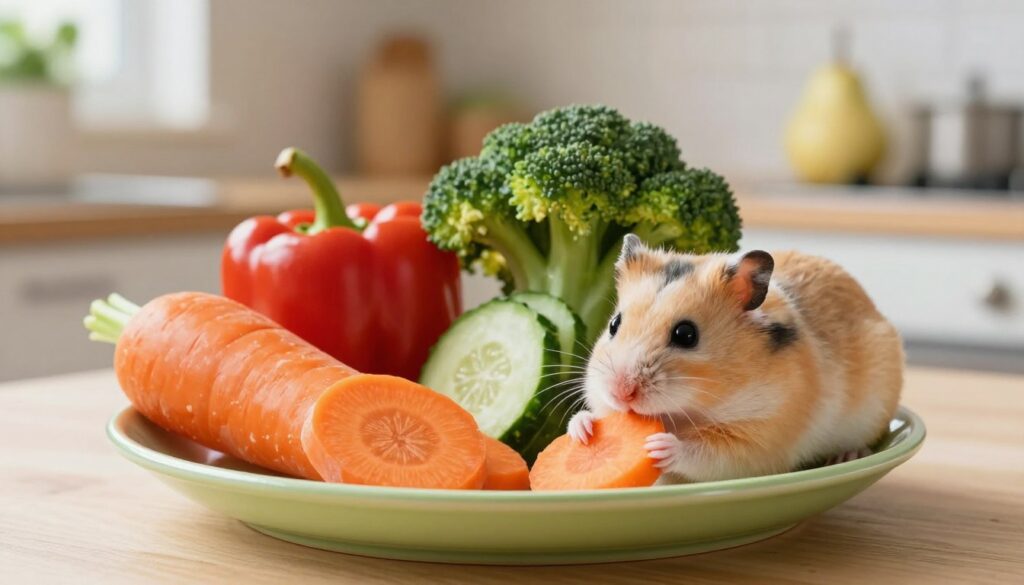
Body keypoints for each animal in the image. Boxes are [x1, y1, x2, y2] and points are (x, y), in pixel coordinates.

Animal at [569, 234, 903, 482]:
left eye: (686, 335)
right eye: (614, 325)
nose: (621, 392)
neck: (685, 412)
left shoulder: (759, 439)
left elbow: (705, 453)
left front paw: (659, 446)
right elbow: (594, 413)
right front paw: (581, 429)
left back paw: (847, 455)